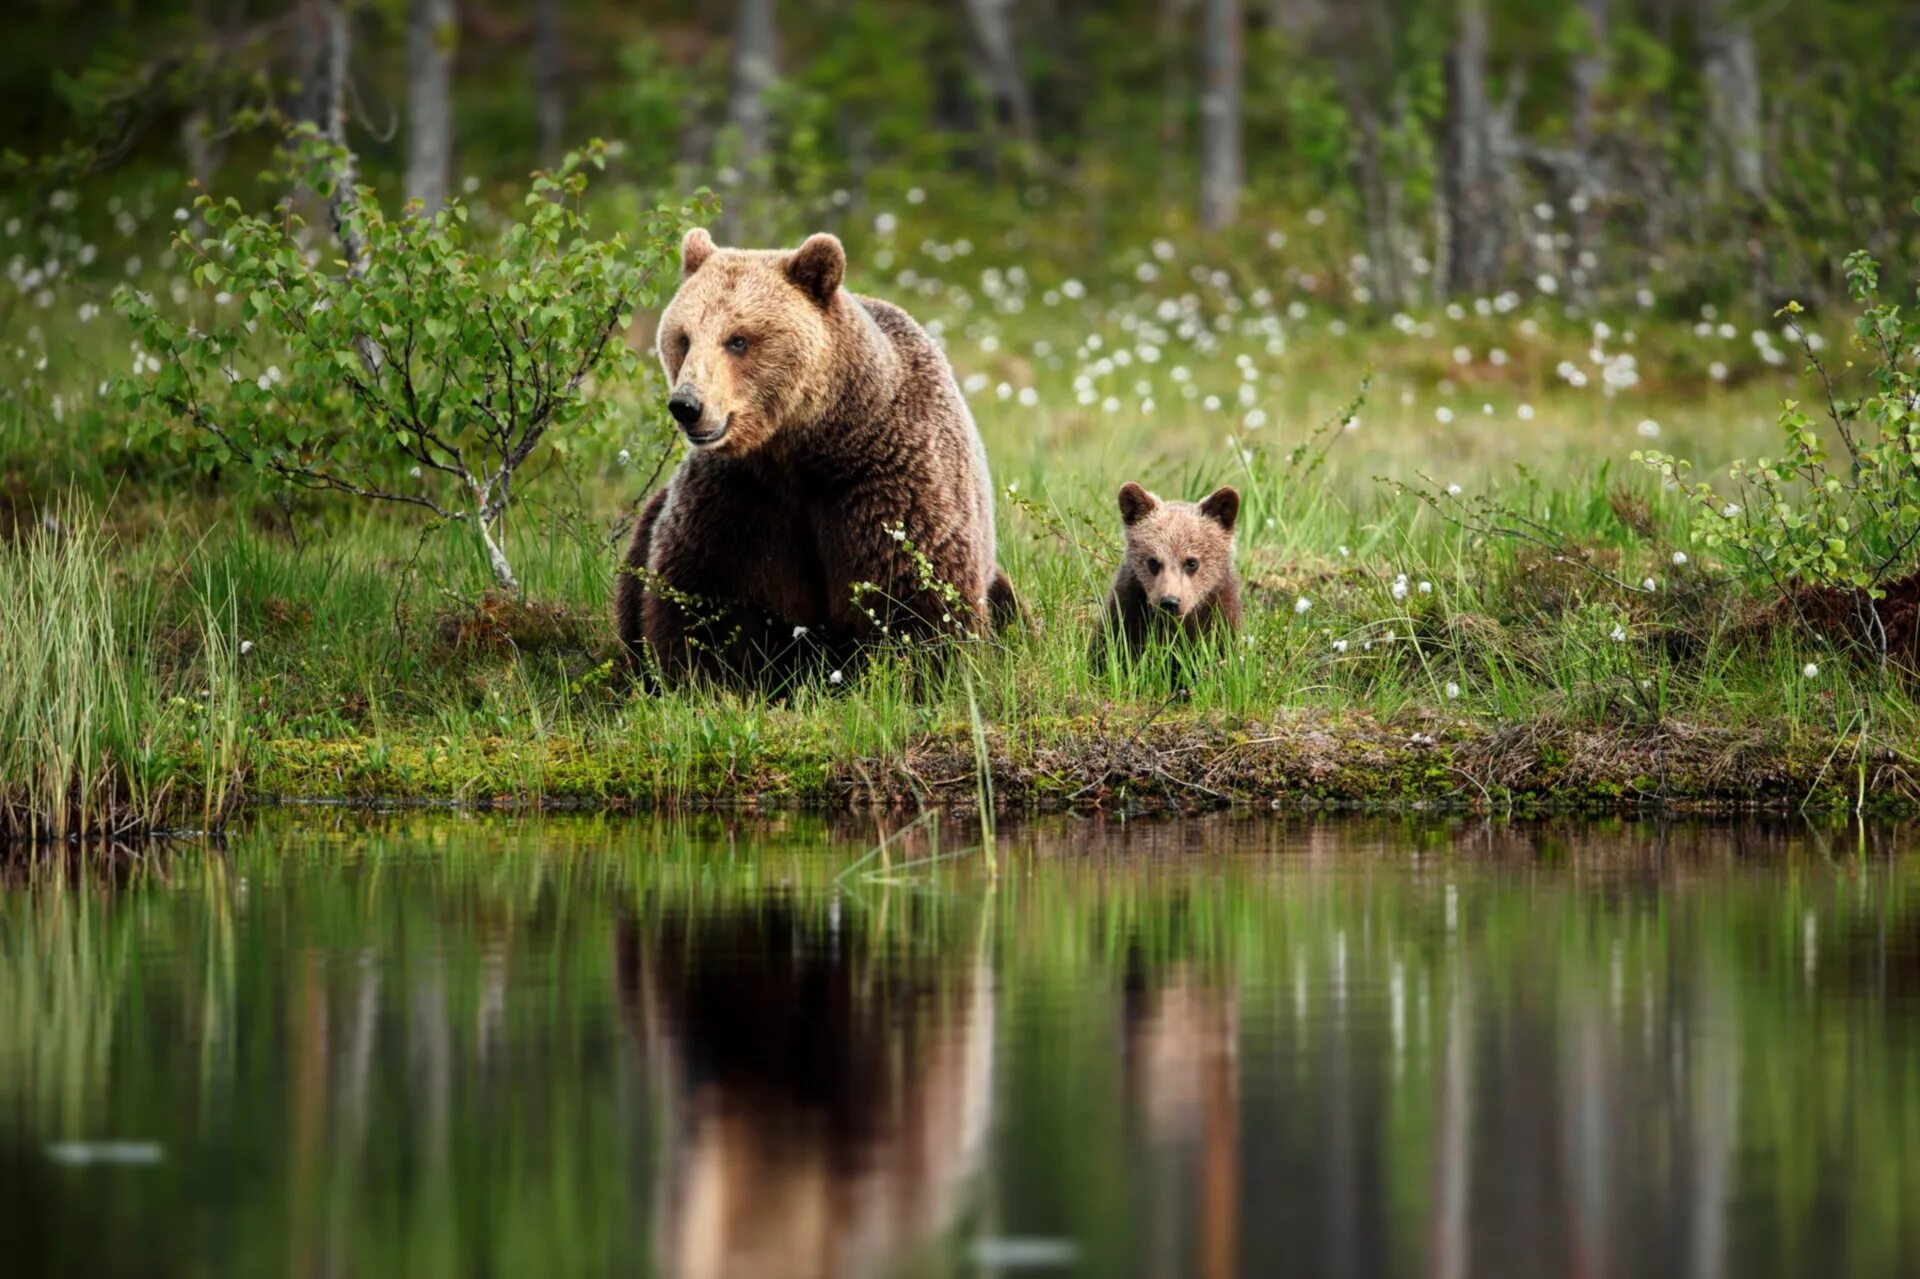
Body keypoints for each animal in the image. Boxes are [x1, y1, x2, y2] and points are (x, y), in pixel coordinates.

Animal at [622, 229, 1029, 687]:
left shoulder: (887, 482)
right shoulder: (737, 500)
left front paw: (922, 673)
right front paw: (701, 680)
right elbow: (700, 597)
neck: (800, 447)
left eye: (738, 340)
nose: (687, 405)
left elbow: (916, 594)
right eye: (684, 337)